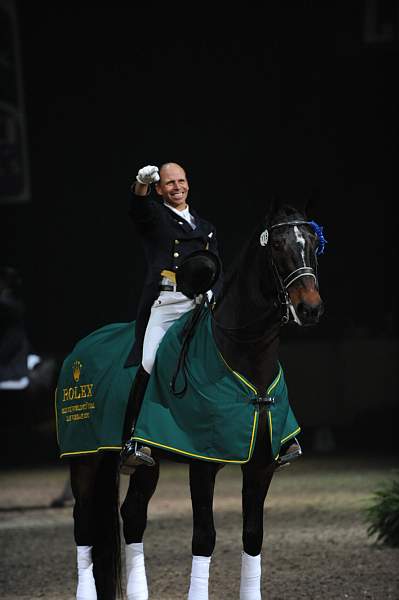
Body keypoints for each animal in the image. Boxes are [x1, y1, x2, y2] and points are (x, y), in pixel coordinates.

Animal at [62, 196, 324, 596]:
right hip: (84, 458)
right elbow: (204, 537)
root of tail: (81, 348)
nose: (310, 308)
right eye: (278, 246)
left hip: (145, 460)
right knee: (83, 522)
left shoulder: (261, 465)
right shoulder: (203, 462)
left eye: (311, 242)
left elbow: (253, 535)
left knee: (132, 515)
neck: (245, 358)